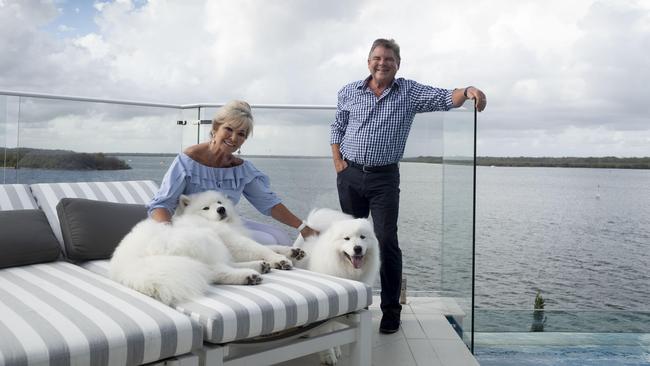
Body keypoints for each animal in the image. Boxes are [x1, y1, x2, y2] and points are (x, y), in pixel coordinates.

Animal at [109, 190, 296, 304]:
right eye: (206, 208)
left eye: (219, 202)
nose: (221, 209)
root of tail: (129, 263)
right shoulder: (234, 240)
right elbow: (262, 248)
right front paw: (280, 260)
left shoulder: (233, 244)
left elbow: (272, 245)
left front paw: (292, 251)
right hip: (203, 242)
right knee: (215, 271)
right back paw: (249, 275)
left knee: (219, 268)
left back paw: (259, 266)